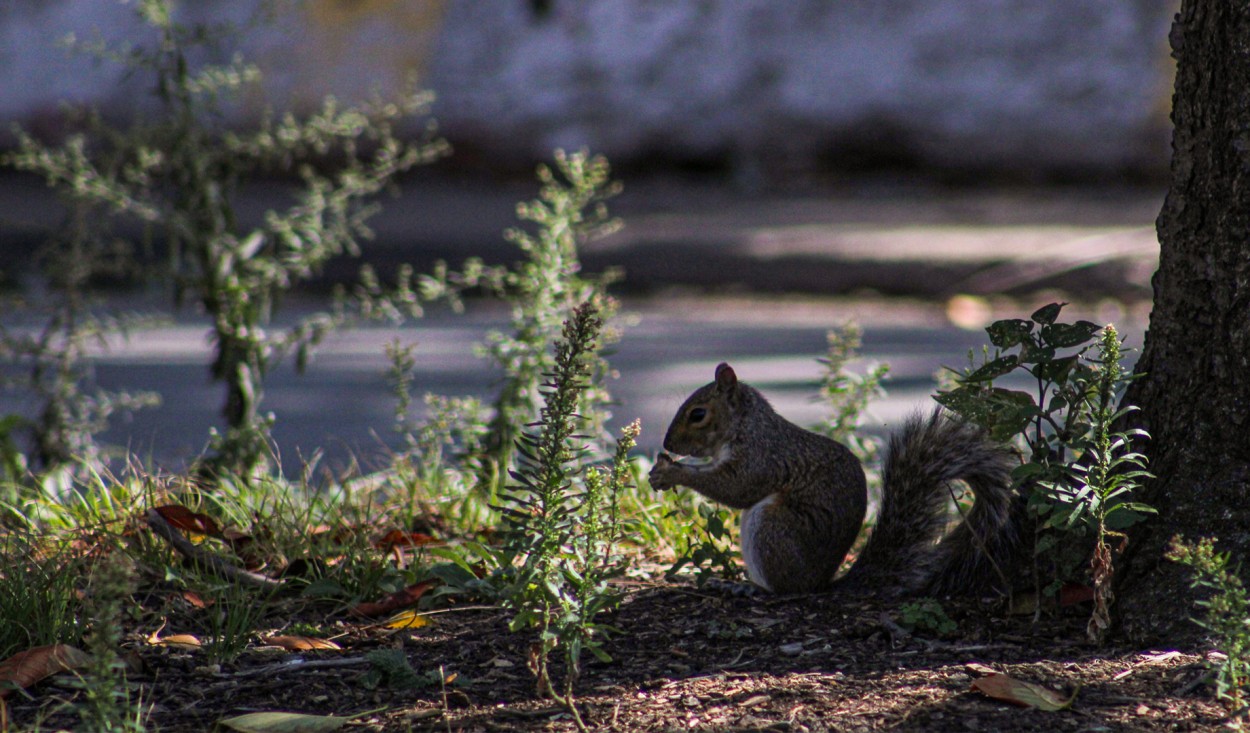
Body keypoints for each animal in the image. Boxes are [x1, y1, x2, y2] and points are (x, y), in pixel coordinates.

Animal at [650, 360, 1020, 592]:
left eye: (698, 414)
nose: (667, 444)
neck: (746, 424)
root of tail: (824, 582)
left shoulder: (763, 456)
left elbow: (736, 488)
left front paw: (671, 471)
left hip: (774, 525)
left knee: (788, 589)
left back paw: (749, 589)